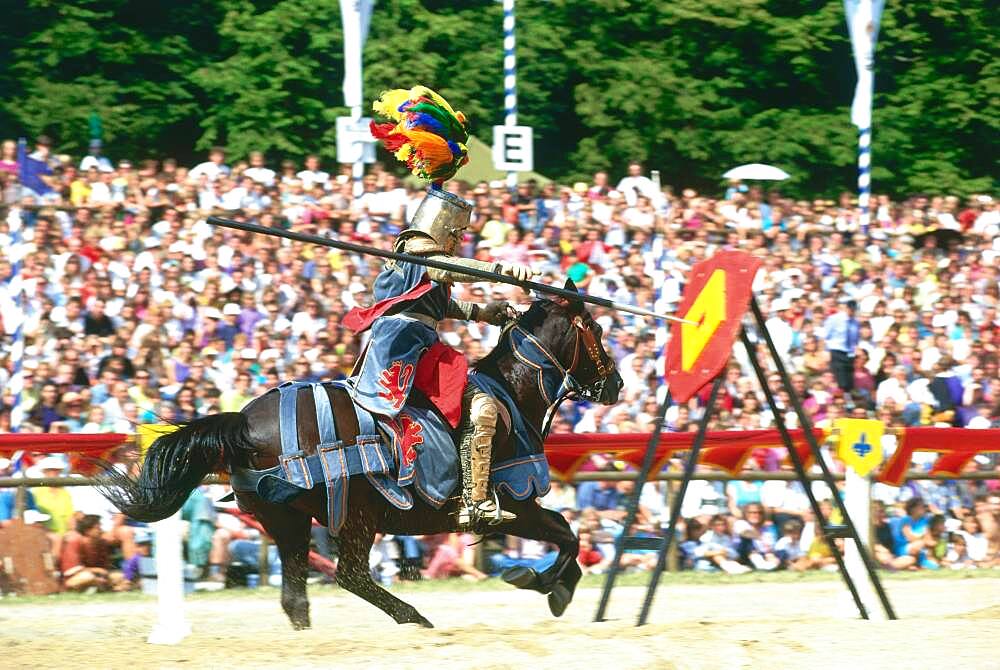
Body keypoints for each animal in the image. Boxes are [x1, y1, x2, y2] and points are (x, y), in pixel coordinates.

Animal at [99, 294, 616, 632]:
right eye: (597, 330)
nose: (617, 385)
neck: (512, 391)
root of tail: (243, 424)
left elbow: (568, 537)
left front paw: (551, 583)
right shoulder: (519, 502)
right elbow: (567, 535)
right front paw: (546, 583)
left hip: (287, 520)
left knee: (296, 595)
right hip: (355, 514)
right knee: (349, 574)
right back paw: (414, 618)